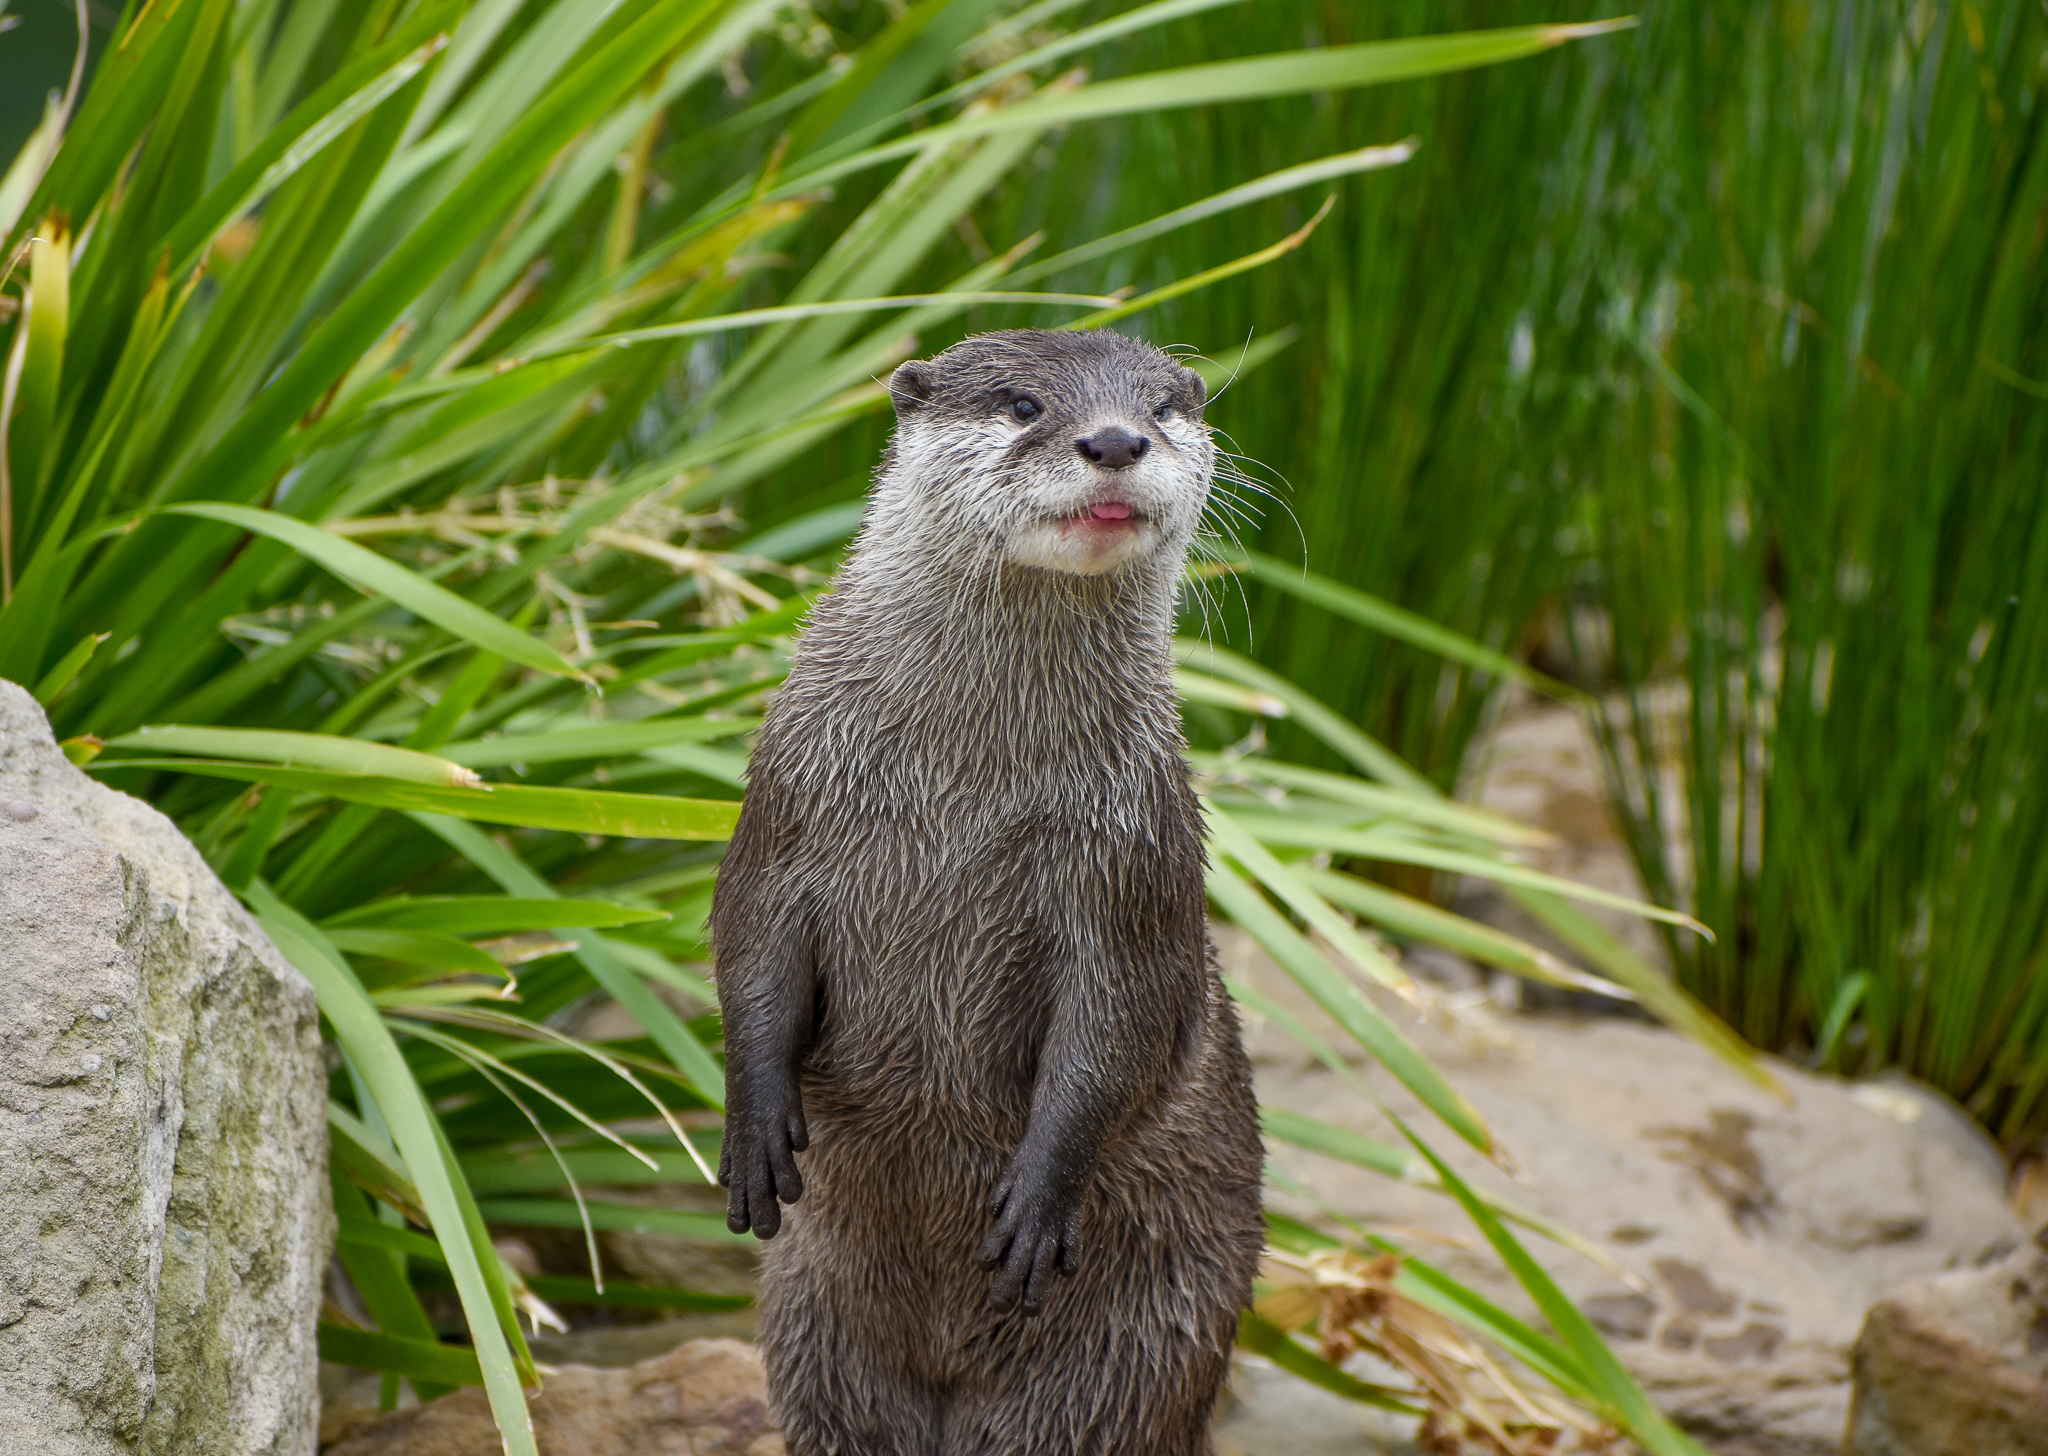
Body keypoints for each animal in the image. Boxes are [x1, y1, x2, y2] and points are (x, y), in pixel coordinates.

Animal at [710, 328, 1265, 1456]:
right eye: (1020, 404)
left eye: (1162, 406)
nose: (1115, 440)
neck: (966, 784)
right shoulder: (785, 799)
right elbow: (746, 950)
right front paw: (752, 1130)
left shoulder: (1136, 854)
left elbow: (1121, 1025)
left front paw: (1038, 1199)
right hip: (812, 1337)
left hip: (1125, 1368)